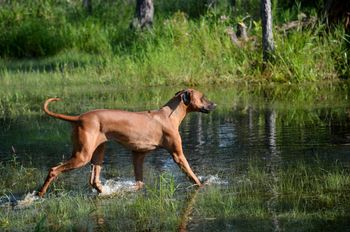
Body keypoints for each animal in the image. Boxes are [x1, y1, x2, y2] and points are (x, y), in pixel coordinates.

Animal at [37, 88, 215, 197]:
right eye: (202, 97)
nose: (214, 104)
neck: (168, 115)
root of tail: (79, 118)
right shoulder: (177, 155)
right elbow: (192, 174)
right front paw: (202, 185)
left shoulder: (138, 155)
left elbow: (140, 182)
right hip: (82, 156)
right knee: (53, 170)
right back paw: (40, 194)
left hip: (98, 152)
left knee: (93, 180)